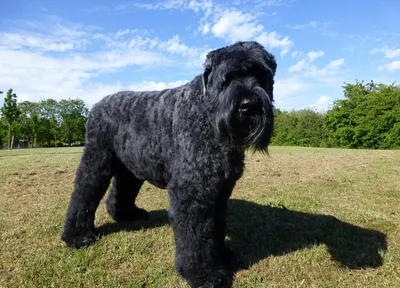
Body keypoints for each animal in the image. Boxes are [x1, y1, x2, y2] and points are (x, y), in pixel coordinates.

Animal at [61, 41, 276, 288]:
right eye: (228, 77)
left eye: (262, 75)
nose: (249, 105)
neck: (206, 114)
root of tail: (96, 106)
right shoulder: (192, 192)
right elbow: (196, 236)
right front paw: (204, 274)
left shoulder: (219, 190)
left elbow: (215, 227)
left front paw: (222, 256)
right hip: (96, 161)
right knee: (83, 193)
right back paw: (76, 236)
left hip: (130, 169)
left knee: (121, 190)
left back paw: (125, 214)